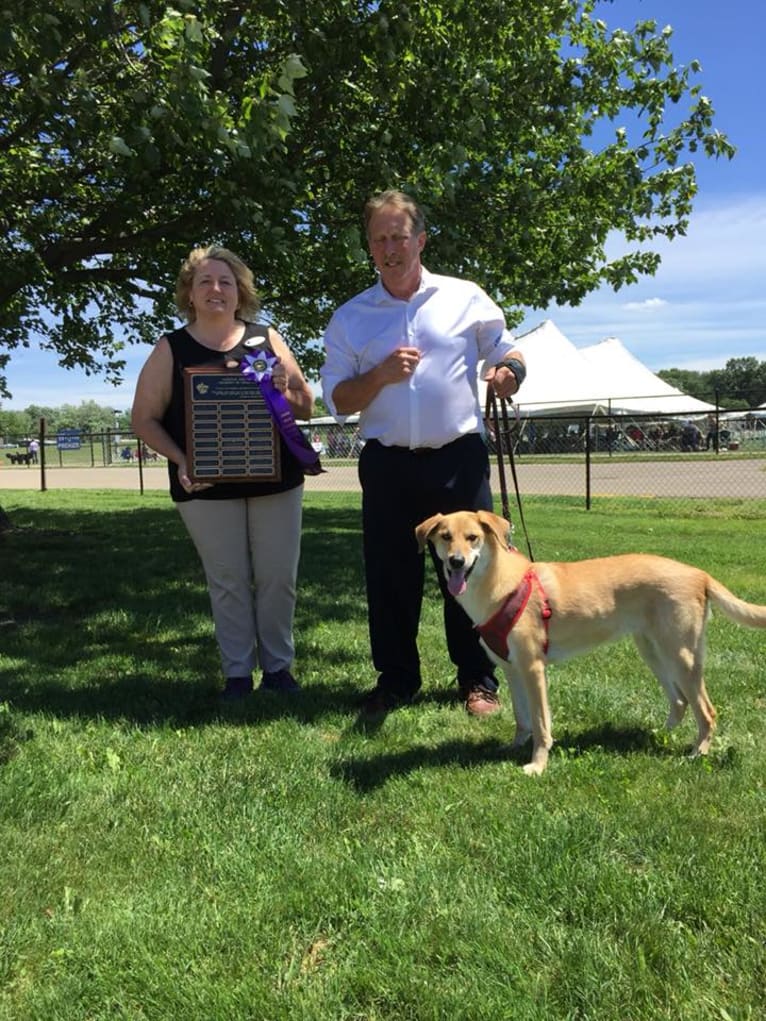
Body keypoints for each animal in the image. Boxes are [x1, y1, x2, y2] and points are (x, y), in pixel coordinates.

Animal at [416, 506, 766, 775]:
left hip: (681, 655)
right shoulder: (512, 669)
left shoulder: (533, 668)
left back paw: (697, 753)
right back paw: (655, 735)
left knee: (706, 710)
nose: (456, 562)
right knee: (680, 701)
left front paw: (538, 765)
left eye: (473, 537)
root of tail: (699, 573)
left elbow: (541, 724)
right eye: (445, 537)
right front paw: (514, 746)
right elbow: (522, 717)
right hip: (653, 650)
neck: (499, 584)